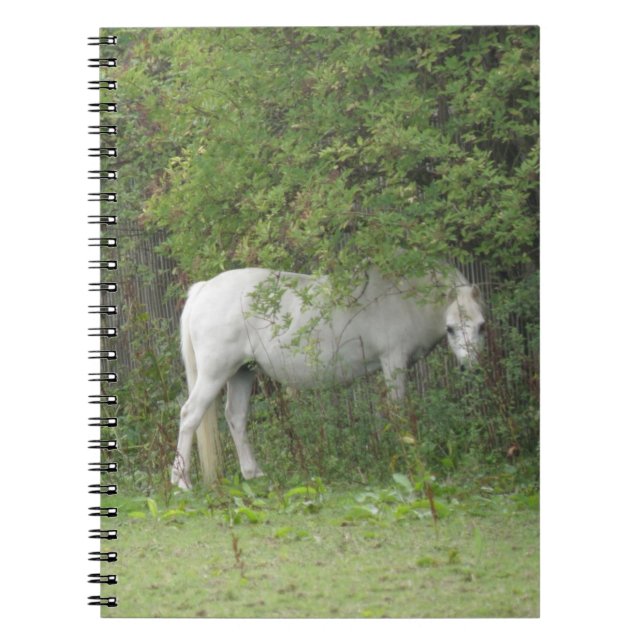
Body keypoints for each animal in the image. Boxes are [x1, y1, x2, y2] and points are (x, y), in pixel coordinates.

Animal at [171, 265, 485, 489]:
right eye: (451, 328)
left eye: (481, 326)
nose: (471, 368)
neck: (403, 297)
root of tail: (204, 289)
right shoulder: (393, 361)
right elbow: (397, 411)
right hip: (214, 373)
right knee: (190, 415)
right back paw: (181, 481)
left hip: (242, 372)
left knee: (236, 417)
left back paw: (254, 474)